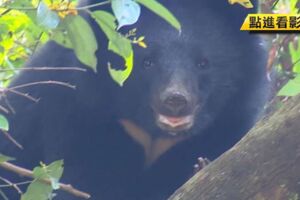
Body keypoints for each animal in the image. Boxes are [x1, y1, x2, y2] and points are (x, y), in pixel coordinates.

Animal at [0, 0, 268, 199]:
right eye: (148, 62)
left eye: (203, 63)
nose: (175, 100)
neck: (154, 135)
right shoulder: (73, 111)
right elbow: (87, 177)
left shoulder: (229, 124)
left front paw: (197, 168)